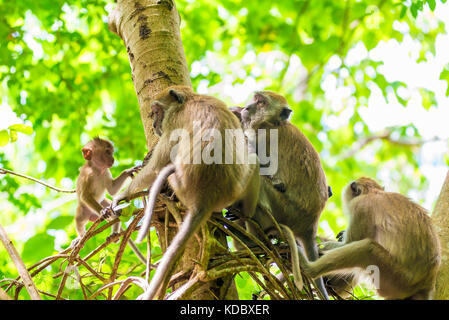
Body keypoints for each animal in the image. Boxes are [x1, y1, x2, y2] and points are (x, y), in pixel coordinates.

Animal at [107, 85, 260, 300]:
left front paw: (121, 196)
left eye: (157, 111)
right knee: (253, 161)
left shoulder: (172, 123)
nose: (154, 124)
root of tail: (206, 198)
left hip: (181, 184)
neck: (190, 100)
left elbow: (156, 165)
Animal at [228, 92, 328, 300]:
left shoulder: (264, 136)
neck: (274, 124)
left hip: (285, 210)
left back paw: (250, 239)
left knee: (255, 167)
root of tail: (311, 225)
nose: (247, 107)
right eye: (255, 99)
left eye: (261, 102)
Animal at [296, 178, 440, 300]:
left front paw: (322, 247)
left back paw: (310, 268)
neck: (373, 192)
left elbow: (350, 242)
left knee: (368, 249)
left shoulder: (361, 206)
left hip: (398, 279)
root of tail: (427, 283)